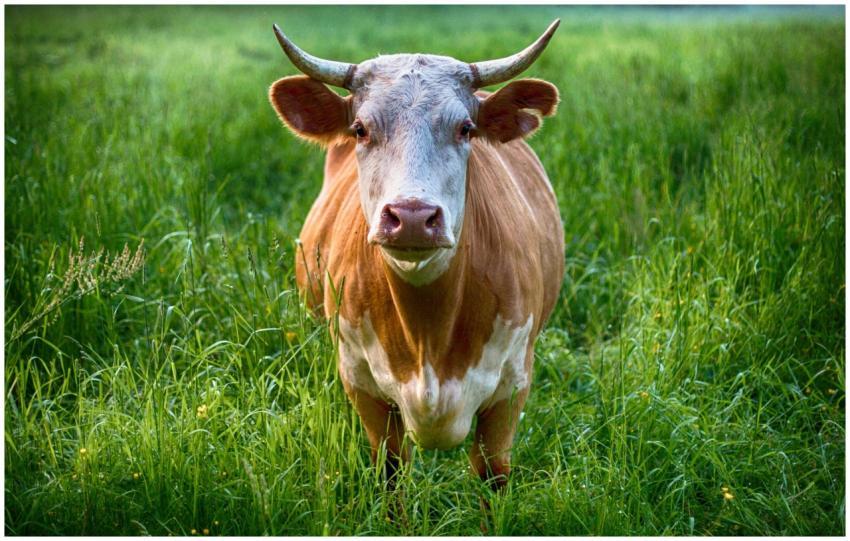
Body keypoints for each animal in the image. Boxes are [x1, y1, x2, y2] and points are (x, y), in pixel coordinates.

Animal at [268, 20, 565, 490]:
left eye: (465, 128)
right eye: (360, 129)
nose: (411, 216)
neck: (429, 332)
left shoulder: (512, 388)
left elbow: (492, 475)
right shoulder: (361, 383)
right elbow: (390, 471)